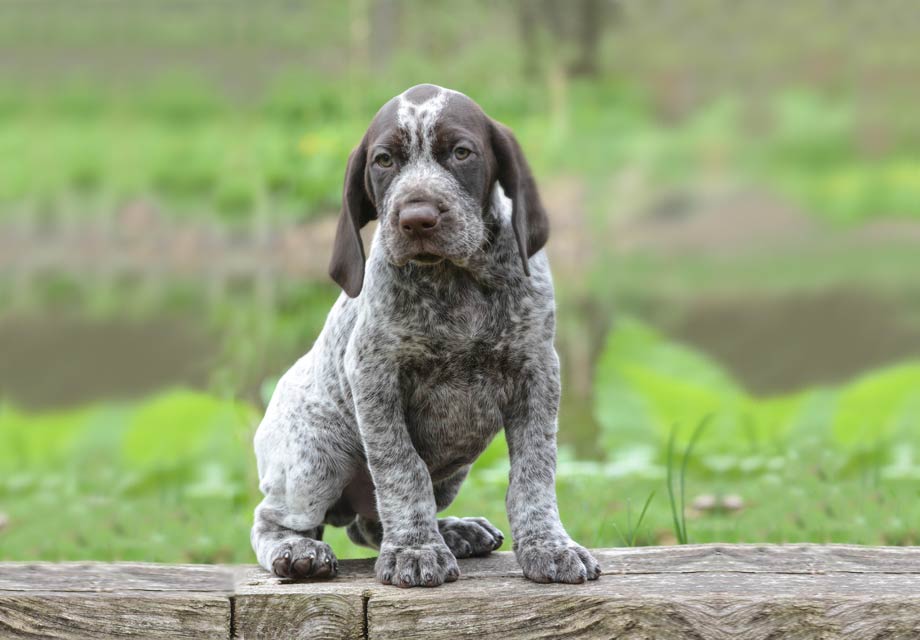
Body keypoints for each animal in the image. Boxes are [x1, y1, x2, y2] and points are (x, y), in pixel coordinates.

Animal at [250, 85, 604, 592]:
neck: (454, 279)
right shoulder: (375, 377)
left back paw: (453, 530)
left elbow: (534, 474)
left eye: (461, 153)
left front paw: (549, 546)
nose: (417, 218)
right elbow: (402, 469)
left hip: (452, 471)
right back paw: (299, 551)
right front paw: (415, 551)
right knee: (274, 519)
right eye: (383, 161)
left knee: (370, 524)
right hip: (317, 454)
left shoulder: (538, 371)